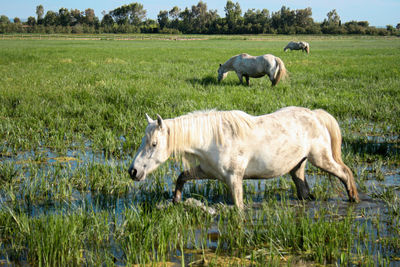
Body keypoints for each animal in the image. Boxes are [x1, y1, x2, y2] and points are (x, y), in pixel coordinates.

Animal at [128, 107, 360, 209]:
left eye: (154, 144)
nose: (133, 171)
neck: (213, 139)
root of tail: (315, 114)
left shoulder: (234, 179)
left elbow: (239, 207)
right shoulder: (206, 171)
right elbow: (182, 176)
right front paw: (176, 200)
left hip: (321, 159)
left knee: (345, 173)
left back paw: (354, 198)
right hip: (298, 166)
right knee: (303, 191)